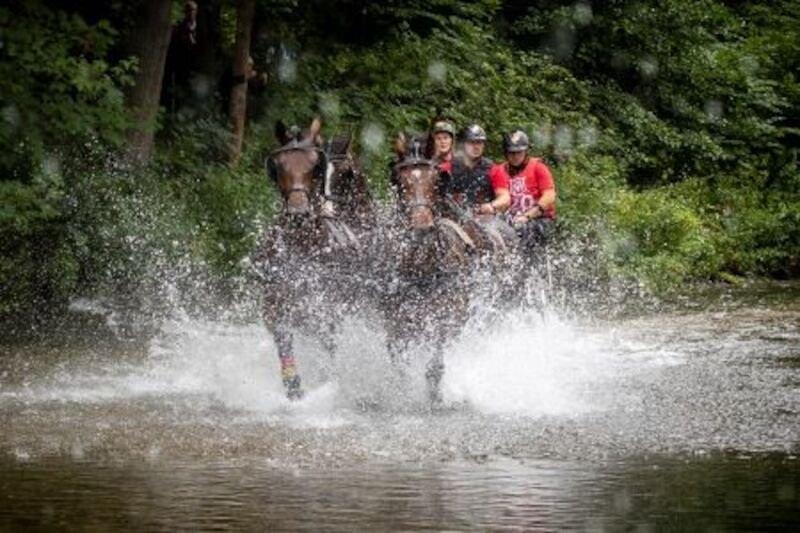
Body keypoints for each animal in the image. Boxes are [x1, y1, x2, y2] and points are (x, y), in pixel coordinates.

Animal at [380, 133, 476, 404]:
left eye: (436, 181)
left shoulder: (445, 316)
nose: (421, 228)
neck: (421, 267)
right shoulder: (394, 320)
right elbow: (398, 358)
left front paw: (434, 394)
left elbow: (435, 361)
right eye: (399, 181)